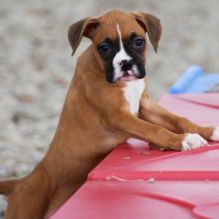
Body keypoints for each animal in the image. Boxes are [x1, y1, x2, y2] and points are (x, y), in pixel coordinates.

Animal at [0, 9, 219, 219]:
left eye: (138, 42)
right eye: (104, 48)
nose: (125, 63)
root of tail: (21, 183)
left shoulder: (145, 105)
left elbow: (179, 119)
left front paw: (207, 130)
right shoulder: (119, 117)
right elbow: (155, 129)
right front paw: (184, 140)